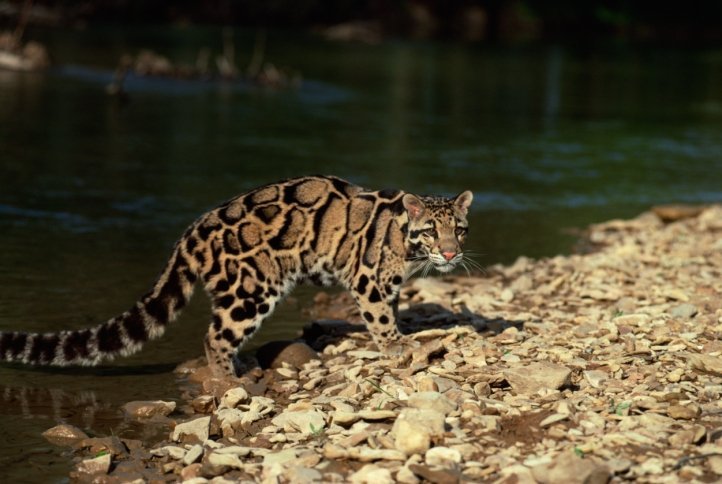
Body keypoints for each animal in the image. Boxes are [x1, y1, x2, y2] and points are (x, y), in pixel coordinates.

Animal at [0, 176, 472, 376]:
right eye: (431, 231)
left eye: (460, 229)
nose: (451, 252)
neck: (407, 245)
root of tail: (191, 232)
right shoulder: (367, 278)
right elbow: (380, 317)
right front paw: (394, 345)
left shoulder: (387, 285)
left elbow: (391, 309)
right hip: (251, 290)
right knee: (214, 336)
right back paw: (230, 380)